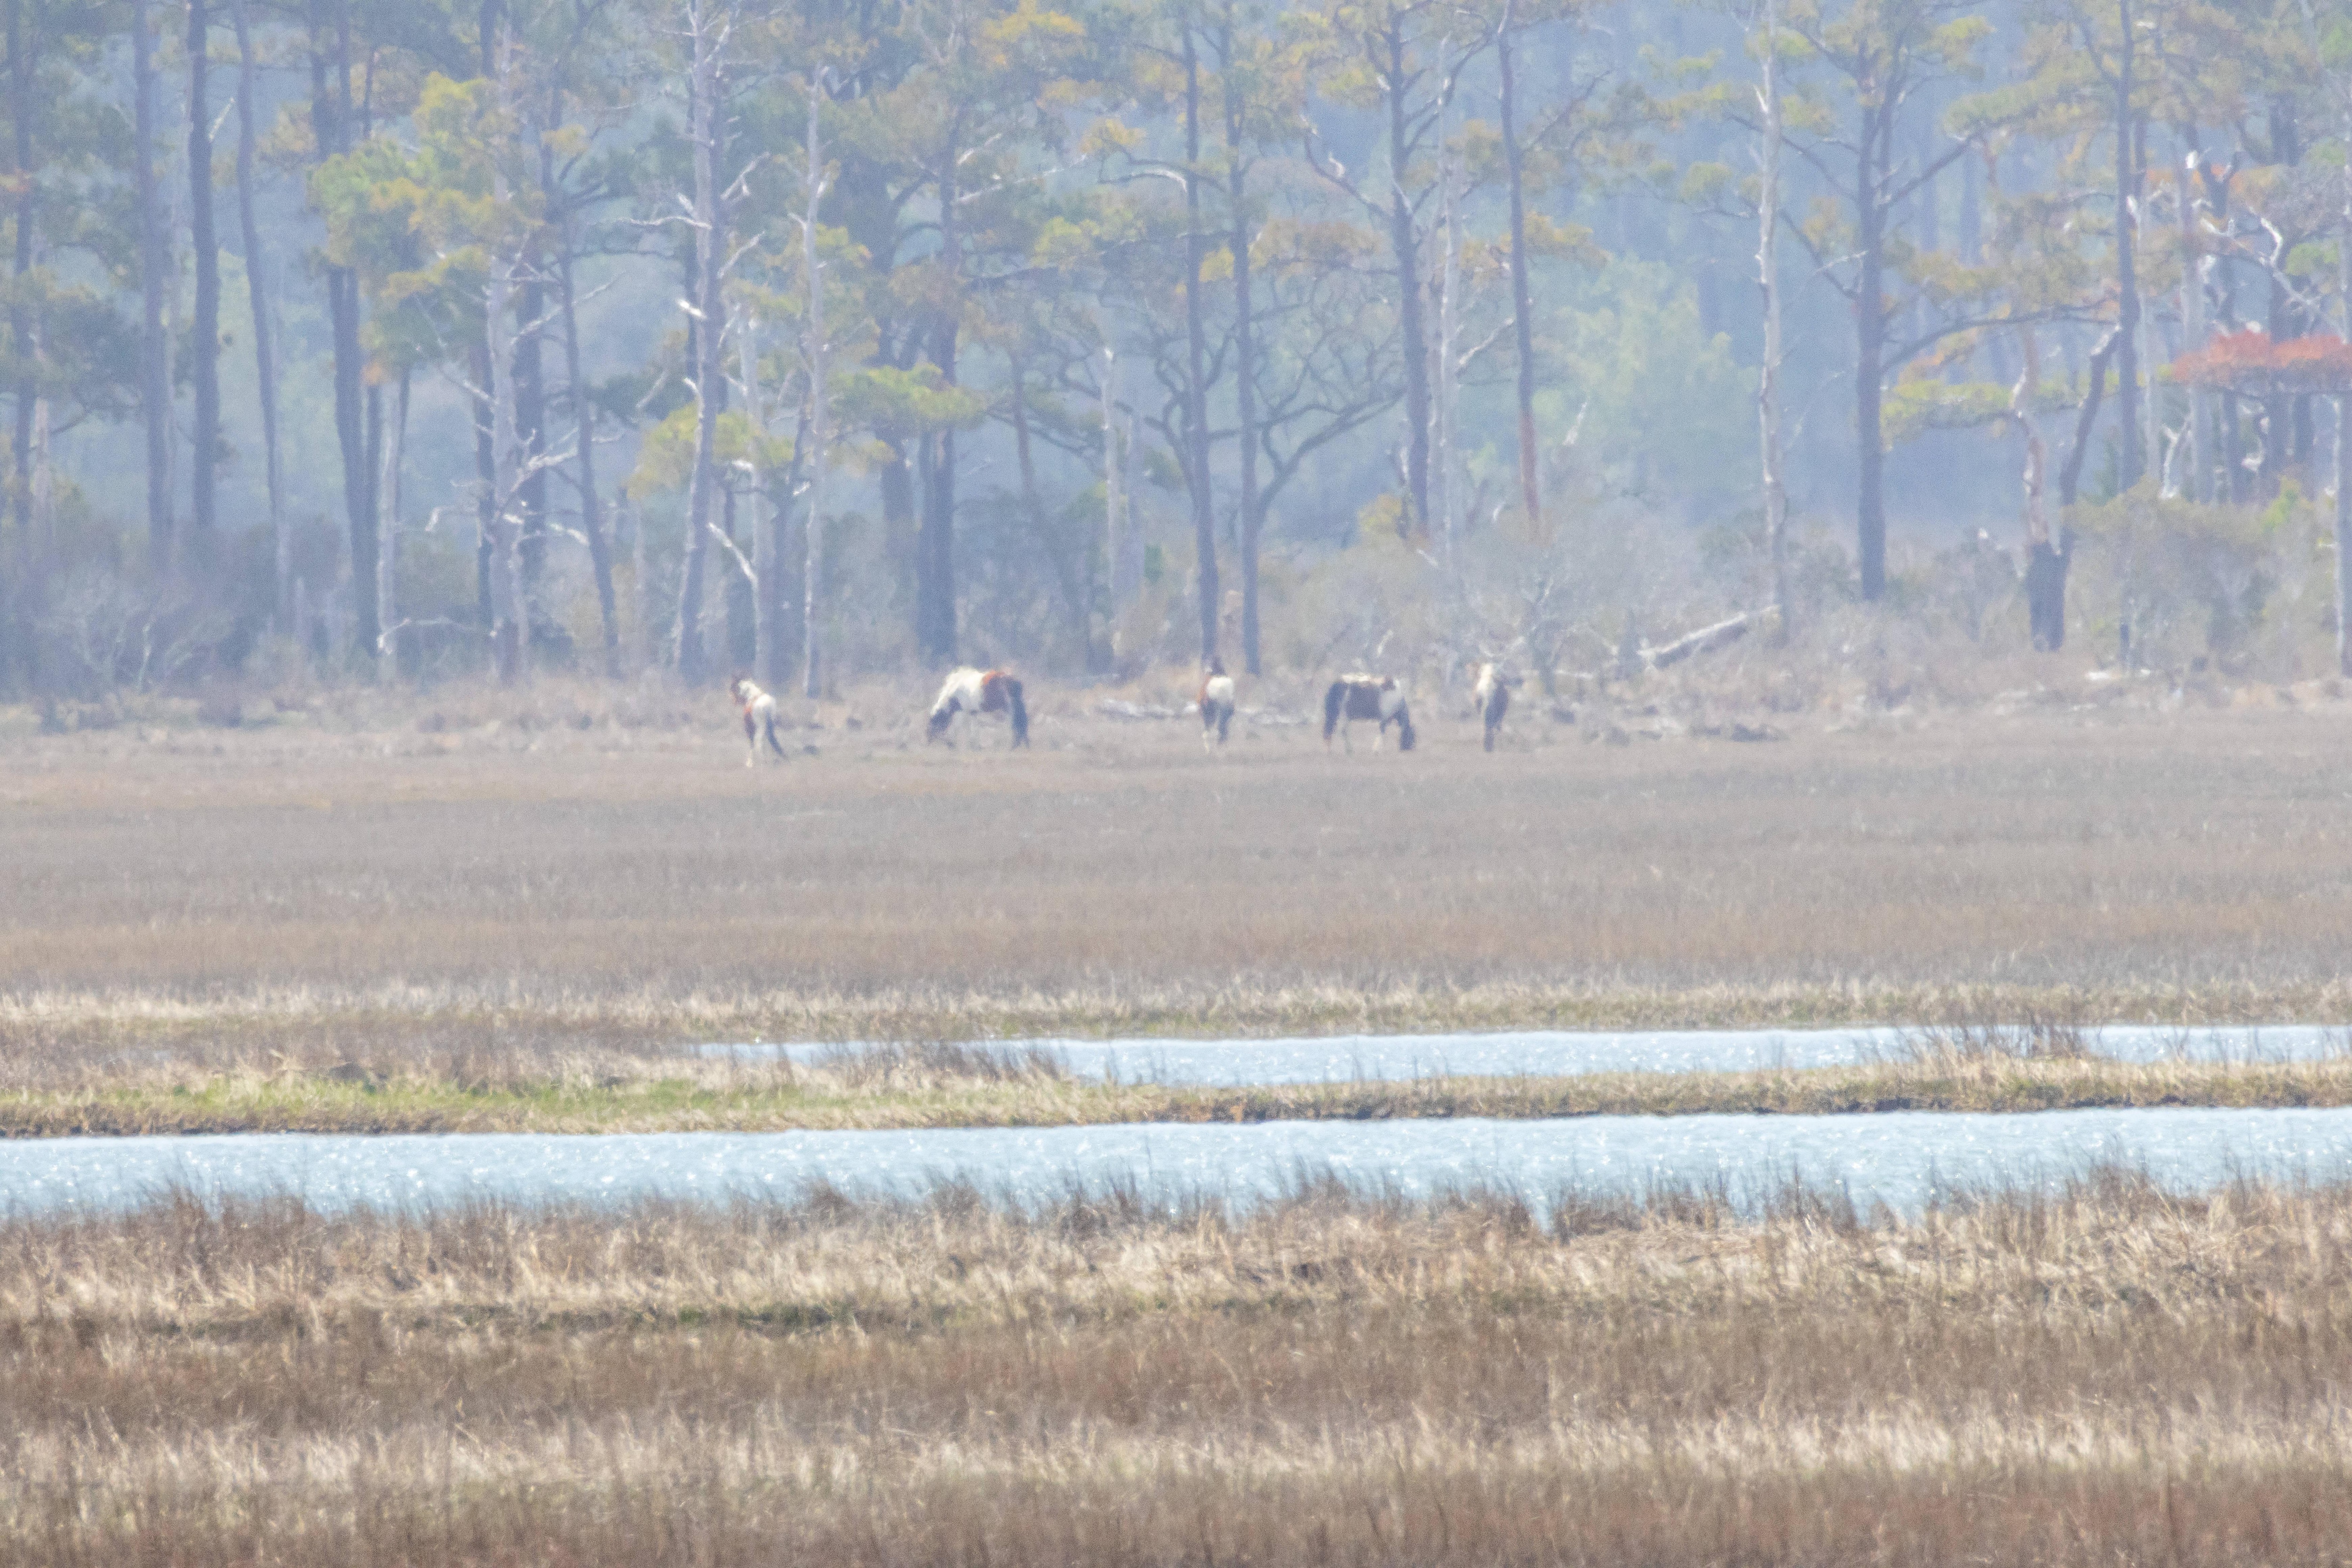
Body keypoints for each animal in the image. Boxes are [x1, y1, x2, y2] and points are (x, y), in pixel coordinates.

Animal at [730, 675, 787, 765]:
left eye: (734, 685)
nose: (733, 699)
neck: (752, 696)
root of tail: (766, 705)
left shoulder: (749, 728)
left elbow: (752, 742)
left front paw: (750, 763)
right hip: (770, 725)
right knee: (770, 739)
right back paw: (773, 759)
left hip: (761, 726)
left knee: (760, 741)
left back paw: (763, 761)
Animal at [927, 667, 1030, 748]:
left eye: (934, 723)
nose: (929, 741)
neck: (955, 690)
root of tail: (1012, 679)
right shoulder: (973, 712)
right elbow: (974, 728)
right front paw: (974, 745)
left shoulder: (962, 712)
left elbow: (958, 726)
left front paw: (952, 743)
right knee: (1021, 723)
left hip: (1009, 708)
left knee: (1014, 724)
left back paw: (1013, 746)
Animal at [1198, 657, 1236, 750]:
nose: (1207, 671)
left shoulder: (1207, 714)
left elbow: (1207, 733)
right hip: (1224, 712)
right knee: (1223, 731)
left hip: (1213, 713)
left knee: (1217, 731)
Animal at [1322, 673, 1414, 752]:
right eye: (1412, 737)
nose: (1410, 749)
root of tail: (1339, 682)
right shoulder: (1384, 719)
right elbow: (1382, 733)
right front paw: (1378, 750)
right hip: (1345, 715)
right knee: (1343, 731)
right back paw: (1349, 750)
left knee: (1330, 729)